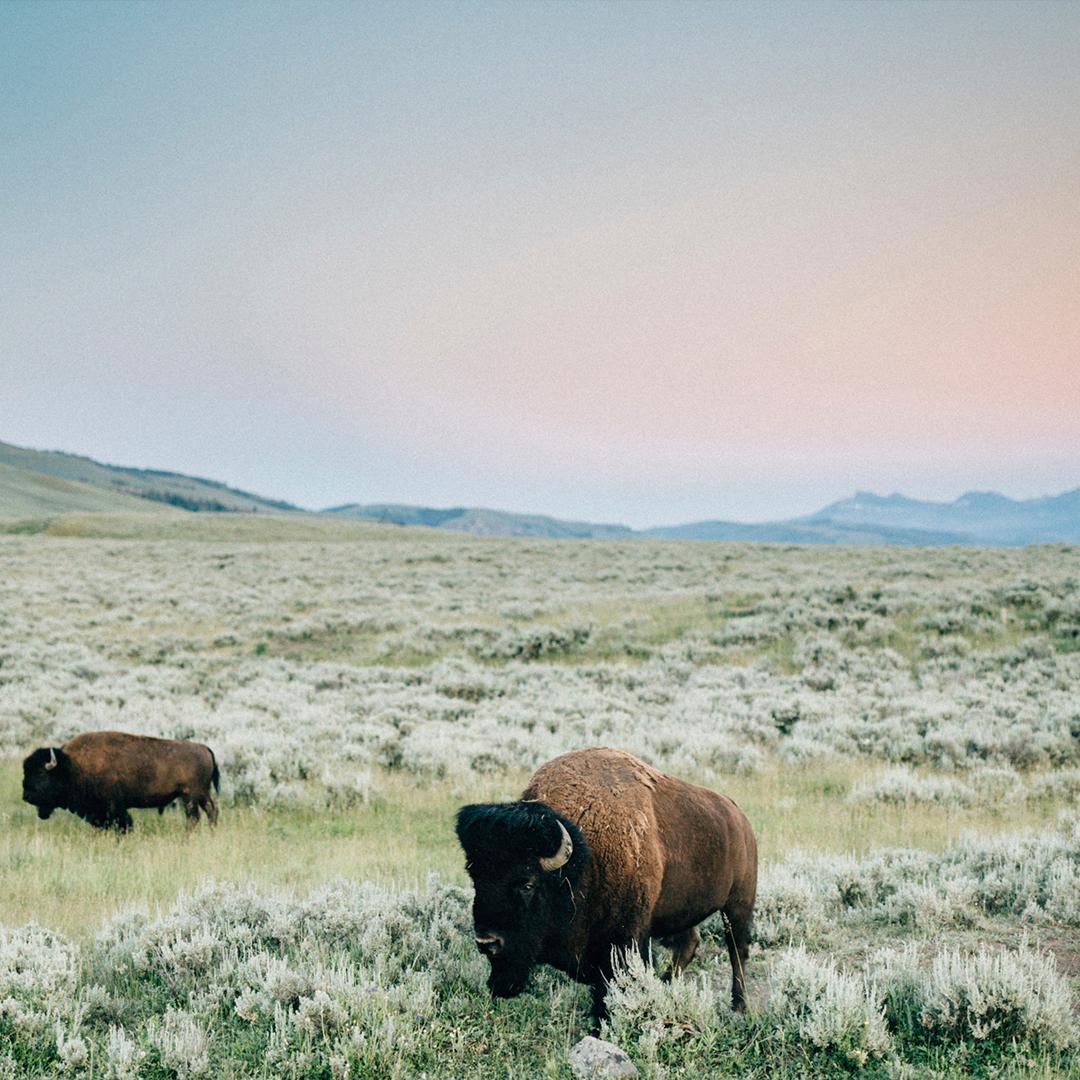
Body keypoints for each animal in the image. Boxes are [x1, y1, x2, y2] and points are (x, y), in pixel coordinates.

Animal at [22, 731, 220, 832]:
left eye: (41, 773)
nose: (26, 796)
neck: (72, 766)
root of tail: (204, 748)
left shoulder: (113, 807)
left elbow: (123, 825)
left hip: (190, 795)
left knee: (194, 818)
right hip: (202, 793)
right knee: (212, 810)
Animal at [456, 746, 757, 1024]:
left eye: (527, 884)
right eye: (476, 878)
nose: (487, 942)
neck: (584, 857)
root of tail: (740, 818)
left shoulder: (624, 940)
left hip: (738, 904)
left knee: (737, 950)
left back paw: (738, 1006)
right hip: (682, 911)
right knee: (689, 943)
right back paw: (667, 985)